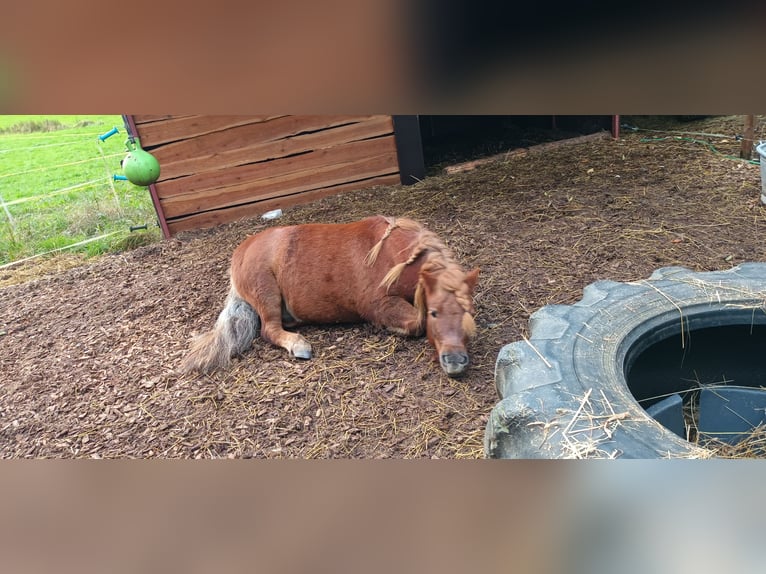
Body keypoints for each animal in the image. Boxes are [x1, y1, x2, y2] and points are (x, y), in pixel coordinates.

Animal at [181, 216, 480, 378]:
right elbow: (415, 323)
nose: (455, 362)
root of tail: (240, 252)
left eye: (467, 313)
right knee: (269, 330)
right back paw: (298, 344)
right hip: (266, 295)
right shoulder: (380, 305)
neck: (392, 255)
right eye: (434, 313)